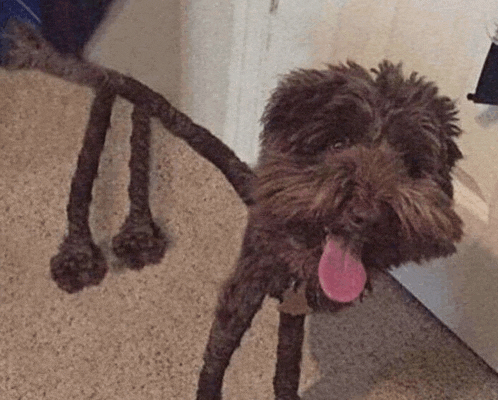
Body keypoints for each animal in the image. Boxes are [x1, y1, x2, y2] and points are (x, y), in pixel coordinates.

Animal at [195, 61, 462, 398]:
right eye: (338, 144)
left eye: (407, 163)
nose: (368, 215)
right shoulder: (246, 285)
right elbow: (219, 349)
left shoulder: (295, 309)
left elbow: (288, 361)